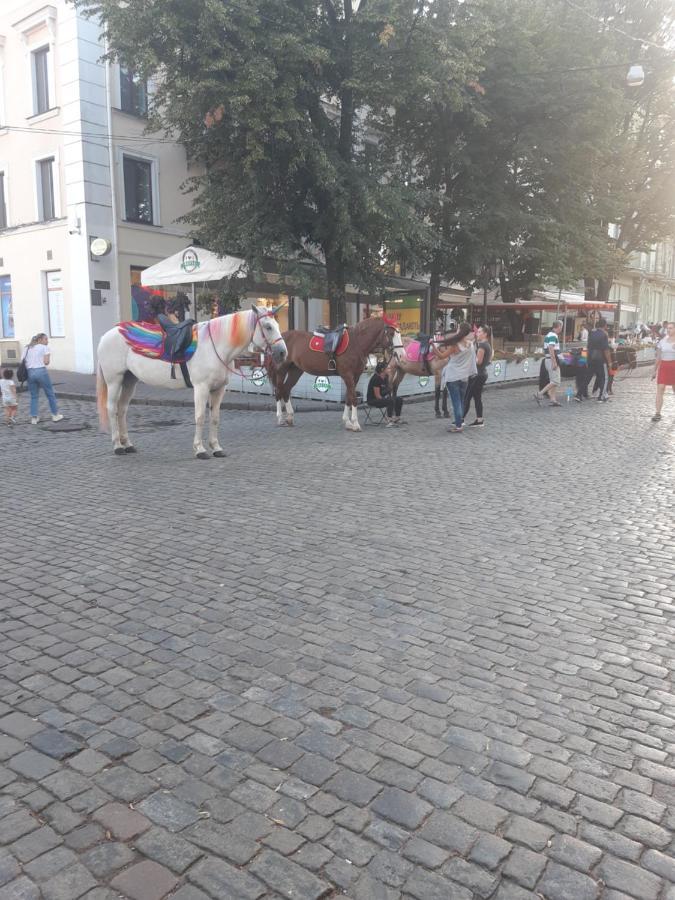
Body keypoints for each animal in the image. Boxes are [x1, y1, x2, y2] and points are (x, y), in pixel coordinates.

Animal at [96, 306, 286, 458]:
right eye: (268, 327)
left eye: (277, 325)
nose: (283, 353)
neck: (215, 347)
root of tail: (106, 335)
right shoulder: (201, 388)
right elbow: (200, 417)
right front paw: (200, 449)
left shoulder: (219, 389)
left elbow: (215, 418)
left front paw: (216, 448)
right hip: (114, 381)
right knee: (112, 409)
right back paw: (118, 446)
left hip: (130, 380)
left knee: (122, 410)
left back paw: (128, 444)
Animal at [272, 316, 404, 428]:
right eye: (391, 334)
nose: (402, 355)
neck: (356, 343)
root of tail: (281, 337)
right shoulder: (348, 375)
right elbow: (353, 398)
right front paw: (355, 423)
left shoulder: (355, 376)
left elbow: (348, 397)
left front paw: (348, 422)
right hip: (281, 370)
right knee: (279, 391)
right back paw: (280, 419)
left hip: (295, 371)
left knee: (286, 390)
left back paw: (290, 418)